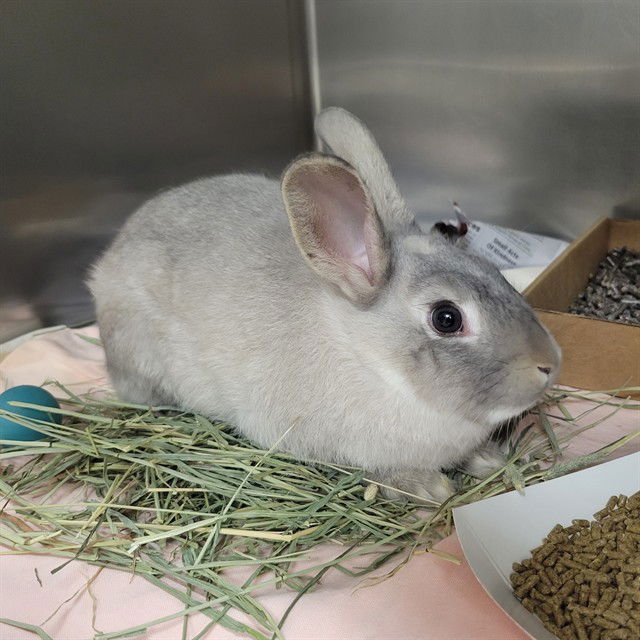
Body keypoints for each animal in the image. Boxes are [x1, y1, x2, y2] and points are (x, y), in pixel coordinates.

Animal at [89, 107, 561, 502]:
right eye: (447, 318)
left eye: (492, 269)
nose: (550, 364)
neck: (373, 361)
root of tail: (106, 267)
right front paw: (429, 488)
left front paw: (487, 458)